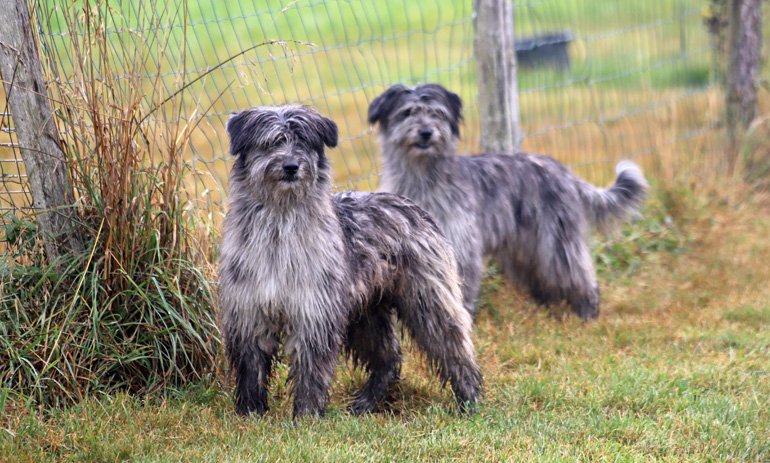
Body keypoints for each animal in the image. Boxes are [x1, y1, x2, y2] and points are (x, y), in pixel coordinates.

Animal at [218, 105, 482, 418]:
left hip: (428, 302)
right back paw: (366, 403)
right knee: (388, 358)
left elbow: (311, 368)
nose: (291, 166)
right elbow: (251, 367)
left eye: (303, 142)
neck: (279, 228)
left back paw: (470, 401)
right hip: (366, 315)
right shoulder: (248, 312)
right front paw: (250, 413)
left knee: (454, 348)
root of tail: (412, 206)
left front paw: (306, 415)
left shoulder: (314, 313)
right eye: (271, 142)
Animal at [368, 84, 648, 320]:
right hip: (524, 243)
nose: (426, 132)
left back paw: (588, 309)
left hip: (556, 240)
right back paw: (547, 303)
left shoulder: (460, 244)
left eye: (437, 113)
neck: (422, 177)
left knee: (577, 271)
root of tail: (565, 172)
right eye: (407, 112)